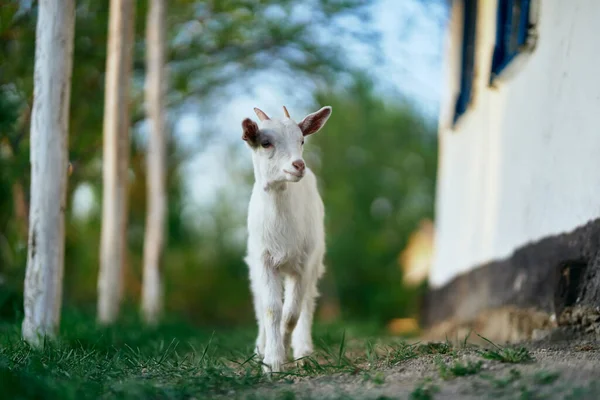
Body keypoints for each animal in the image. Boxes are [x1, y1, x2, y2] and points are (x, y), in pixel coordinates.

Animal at [240, 104, 332, 372]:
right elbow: (271, 308)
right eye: (265, 143)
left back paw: (303, 351)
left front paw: (283, 346)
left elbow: (292, 313)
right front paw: (272, 361)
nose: (298, 165)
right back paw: (260, 348)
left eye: (301, 140)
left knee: (308, 303)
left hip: (314, 261)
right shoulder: (263, 259)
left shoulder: (303, 263)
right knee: (259, 303)